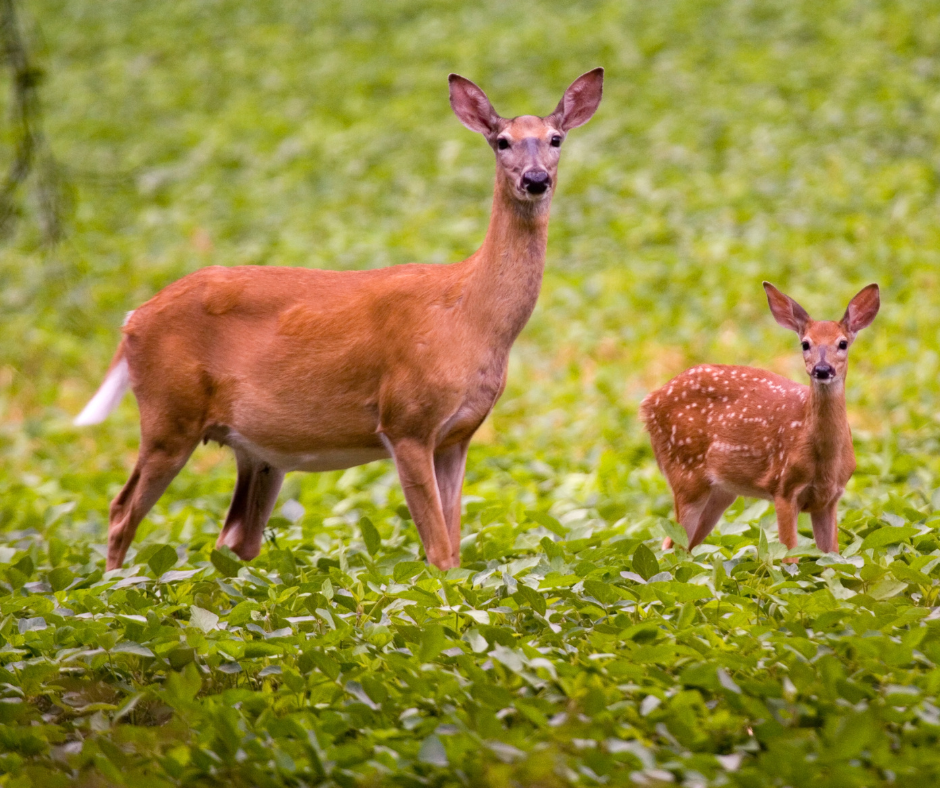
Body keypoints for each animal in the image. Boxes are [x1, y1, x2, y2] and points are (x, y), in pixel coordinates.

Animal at [74, 69, 604, 572]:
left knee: (232, 541)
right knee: (121, 511)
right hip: (168, 414)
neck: (469, 315)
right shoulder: (405, 421)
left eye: (556, 138)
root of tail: (131, 320)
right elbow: (438, 552)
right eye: (502, 141)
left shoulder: (458, 436)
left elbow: (455, 547)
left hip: (255, 452)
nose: (535, 179)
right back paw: (114, 588)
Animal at [640, 282, 880, 560]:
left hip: (721, 492)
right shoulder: (784, 488)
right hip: (685, 473)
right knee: (672, 547)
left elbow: (832, 557)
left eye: (842, 343)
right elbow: (789, 557)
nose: (822, 369)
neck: (825, 462)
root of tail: (648, 403)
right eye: (805, 344)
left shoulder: (829, 499)